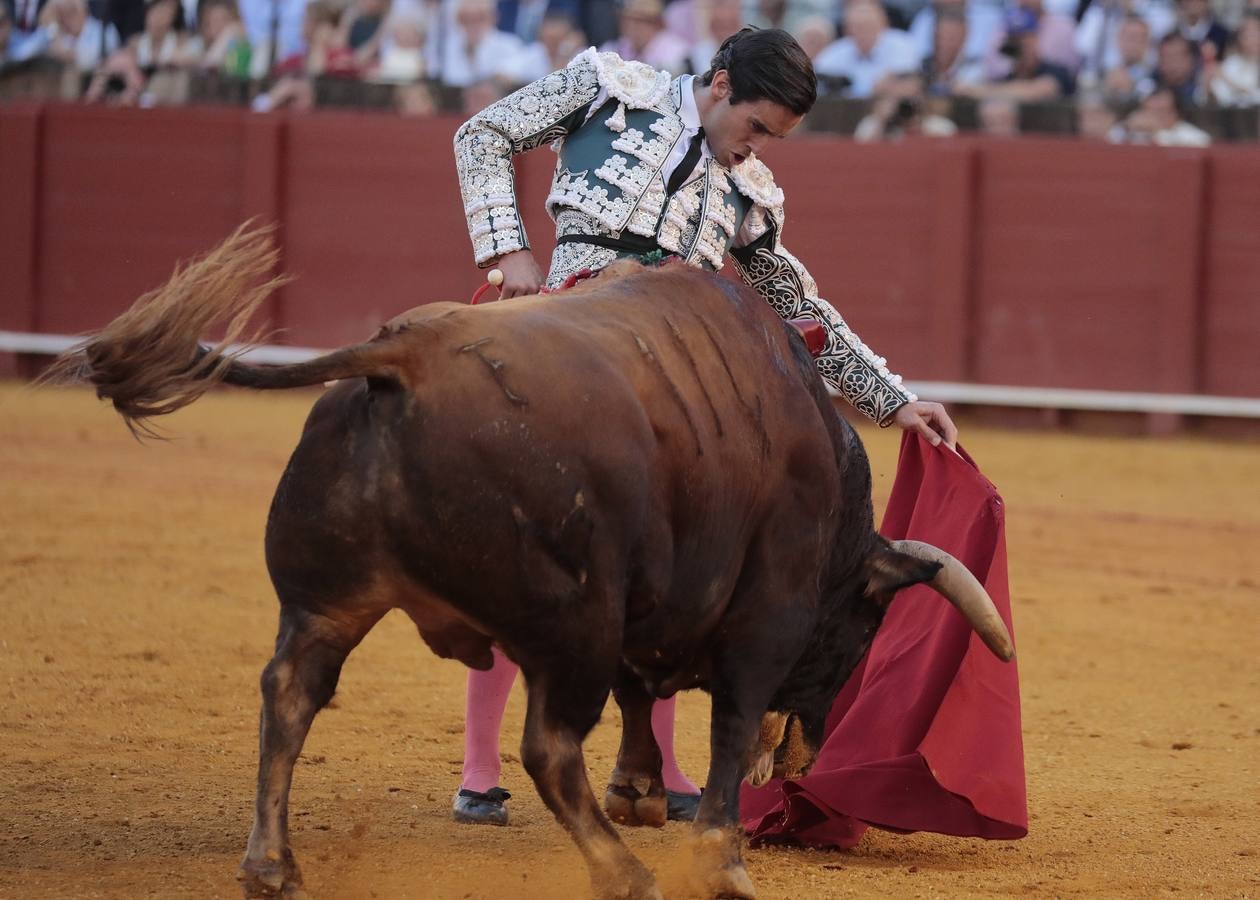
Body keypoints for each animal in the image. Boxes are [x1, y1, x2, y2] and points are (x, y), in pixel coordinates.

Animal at [49, 224, 1013, 897]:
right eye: (864, 632)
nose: (807, 763)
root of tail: (401, 353)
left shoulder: (646, 602)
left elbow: (643, 696)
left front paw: (642, 790)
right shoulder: (761, 619)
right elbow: (731, 722)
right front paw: (722, 860)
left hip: (329, 602)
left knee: (289, 697)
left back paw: (272, 866)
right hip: (569, 620)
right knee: (547, 745)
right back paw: (624, 874)